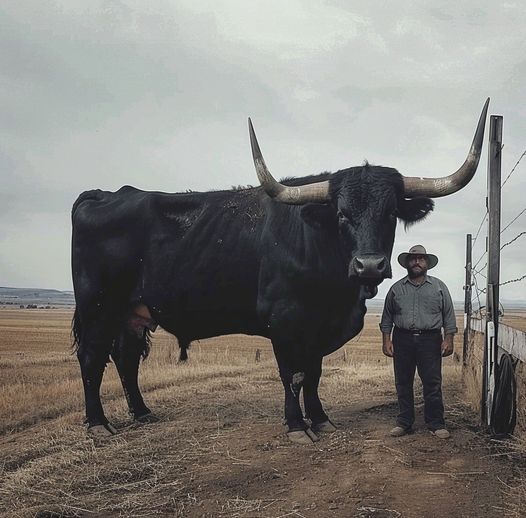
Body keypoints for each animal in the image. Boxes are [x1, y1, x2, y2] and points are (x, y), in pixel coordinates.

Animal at [70, 99, 490, 444]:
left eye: (390, 214)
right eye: (341, 214)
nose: (369, 265)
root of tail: (106, 194)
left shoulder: (319, 329)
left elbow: (314, 373)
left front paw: (320, 420)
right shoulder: (284, 323)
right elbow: (294, 375)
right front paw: (296, 426)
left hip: (131, 312)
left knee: (124, 357)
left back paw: (142, 413)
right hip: (98, 306)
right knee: (92, 358)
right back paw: (98, 424)